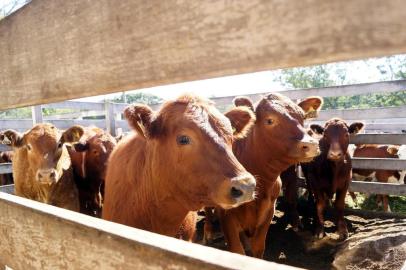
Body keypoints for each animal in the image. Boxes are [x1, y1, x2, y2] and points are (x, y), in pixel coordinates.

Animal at [208, 93, 322, 258]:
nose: (312, 145)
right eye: (270, 120)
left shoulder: (268, 211)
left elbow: (258, 247)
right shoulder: (226, 215)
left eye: (302, 117)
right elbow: (237, 250)